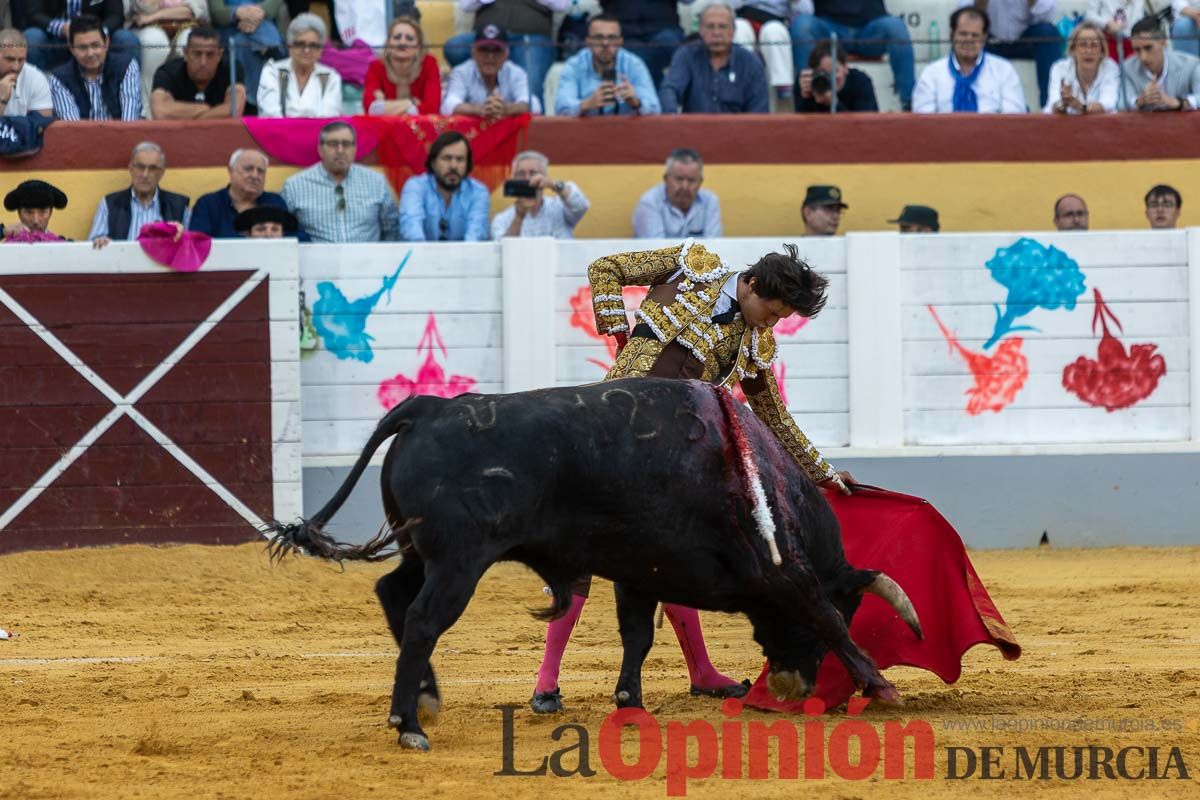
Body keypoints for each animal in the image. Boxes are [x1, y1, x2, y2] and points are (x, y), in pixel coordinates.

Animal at [267, 376, 921, 753]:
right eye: (852, 604)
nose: (793, 684)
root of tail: (429, 409)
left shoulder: (641, 571)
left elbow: (637, 635)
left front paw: (629, 702)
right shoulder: (787, 575)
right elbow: (825, 620)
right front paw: (881, 686)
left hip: (420, 552)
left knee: (392, 593)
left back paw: (425, 698)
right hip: (459, 561)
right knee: (424, 620)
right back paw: (409, 724)